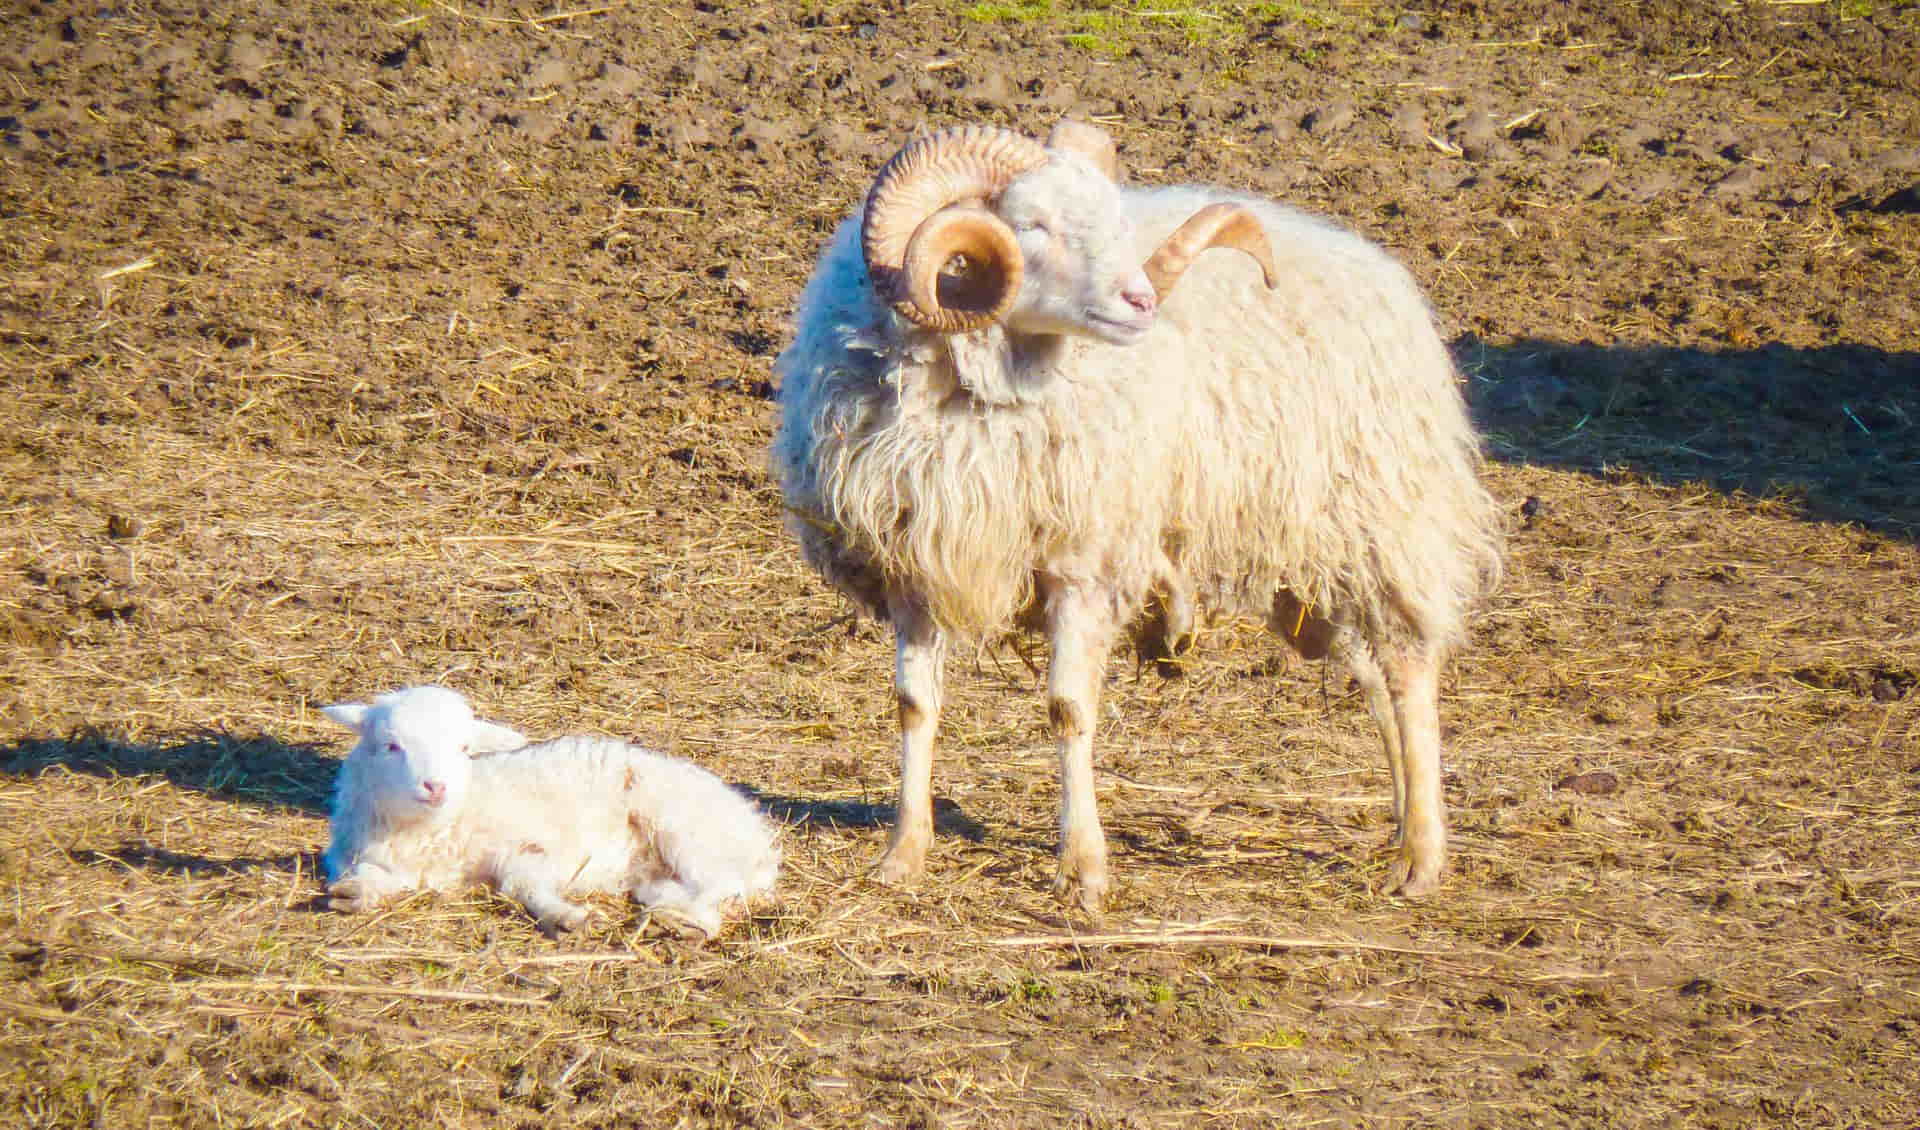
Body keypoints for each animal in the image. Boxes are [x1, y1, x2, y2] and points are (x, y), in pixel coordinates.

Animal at [322, 686, 779, 932]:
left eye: (464, 748)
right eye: (391, 746)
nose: (436, 787)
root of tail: (755, 829)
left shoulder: (530, 846)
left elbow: (522, 884)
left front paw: (563, 916)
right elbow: (369, 877)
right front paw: (355, 893)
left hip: (683, 829)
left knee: (722, 886)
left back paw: (688, 921)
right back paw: (671, 909)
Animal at [771, 116, 1505, 909]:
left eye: (1115, 221)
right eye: (1032, 224)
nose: (1141, 300)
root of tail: (1378, 268)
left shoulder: (1081, 564)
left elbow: (1068, 709)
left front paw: (1083, 868)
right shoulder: (915, 569)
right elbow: (913, 705)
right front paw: (903, 853)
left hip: (1381, 521)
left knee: (1408, 672)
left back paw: (1423, 855)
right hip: (1307, 562)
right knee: (1371, 682)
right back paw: (1398, 828)